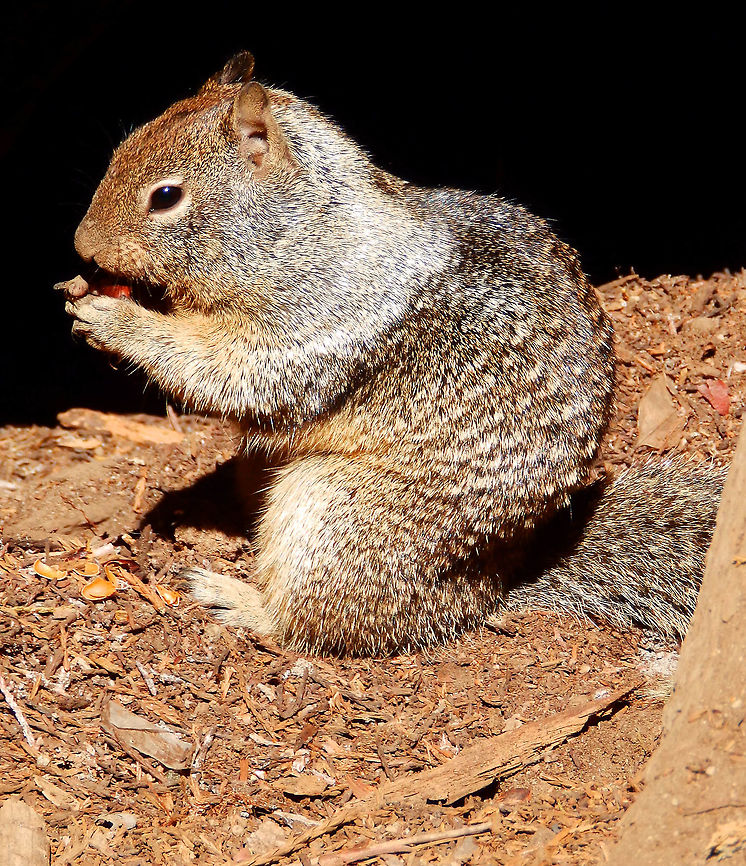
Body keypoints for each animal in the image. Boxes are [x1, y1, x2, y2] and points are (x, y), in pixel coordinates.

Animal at [57, 52, 725, 655]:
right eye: (121, 149)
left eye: (166, 196)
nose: (82, 247)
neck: (306, 233)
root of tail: (497, 585)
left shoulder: (318, 323)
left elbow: (230, 371)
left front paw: (116, 319)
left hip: (333, 516)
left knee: (321, 626)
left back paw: (238, 599)